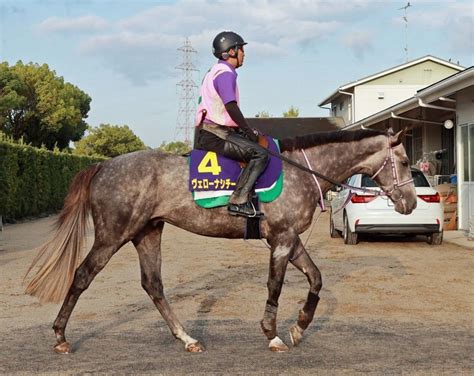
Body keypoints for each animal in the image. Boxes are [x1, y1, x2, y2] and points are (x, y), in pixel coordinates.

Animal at [25, 128, 414, 354]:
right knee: (82, 276)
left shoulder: (289, 238)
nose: (410, 203)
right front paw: (272, 333)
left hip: (147, 232)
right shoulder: (282, 240)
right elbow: (275, 285)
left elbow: (316, 278)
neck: (300, 171)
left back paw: (187, 338)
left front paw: (300, 326)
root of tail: (103, 166)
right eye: (406, 160)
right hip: (113, 235)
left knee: (153, 284)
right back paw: (60, 336)